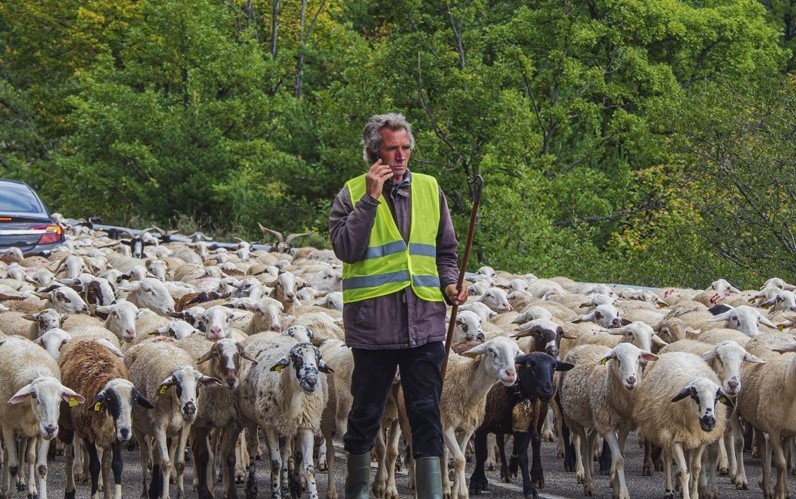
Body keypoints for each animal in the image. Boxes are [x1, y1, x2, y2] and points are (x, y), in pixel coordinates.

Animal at [0, 335, 85, 499]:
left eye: (60, 399)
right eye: (33, 395)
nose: (51, 428)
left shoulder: (40, 433)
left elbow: (41, 467)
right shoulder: (8, 428)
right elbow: (13, 466)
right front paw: (11, 493)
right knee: (6, 455)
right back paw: (5, 487)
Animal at [59, 339, 154, 499]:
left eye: (135, 400)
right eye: (110, 399)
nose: (125, 432)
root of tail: (86, 340)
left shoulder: (115, 437)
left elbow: (116, 465)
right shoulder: (87, 434)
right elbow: (94, 466)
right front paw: (94, 494)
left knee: (105, 464)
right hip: (68, 424)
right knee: (68, 456)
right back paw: (70, 488)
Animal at [127, 340, 222, 499]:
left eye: (198, 383)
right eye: (177, 383)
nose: (190, 409)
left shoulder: (185, 427)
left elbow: (180, 464)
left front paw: (180, 493)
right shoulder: (159, 426)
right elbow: (166, 463)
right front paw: (165, 495)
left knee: (156, 454)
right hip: (138, 428)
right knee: (144, 457)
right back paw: (145, 491)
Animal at [559, 343, 658, 499]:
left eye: (638, 358)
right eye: (617, 359)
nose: (631, 380)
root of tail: (584, 345)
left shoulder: (624, 426)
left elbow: (620, 455)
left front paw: (616, 489)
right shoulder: (607, 427)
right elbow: (618, 459)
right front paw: (623, 493)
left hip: (595, 419)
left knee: (590, 439)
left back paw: (591, 474)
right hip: (575, 418)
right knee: (583, 445)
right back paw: (588, 483)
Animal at [632, 352, 730, 499]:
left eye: (717, 398)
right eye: (694, 396)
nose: (709, 422)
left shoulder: (700, 439)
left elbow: (695, 468)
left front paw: (693, 494)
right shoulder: (675, 438)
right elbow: (684, 471)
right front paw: (685, 493)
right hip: (666, 433)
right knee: (668, 460)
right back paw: (669, 490)